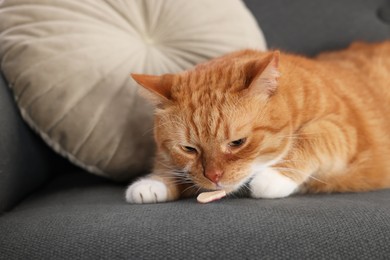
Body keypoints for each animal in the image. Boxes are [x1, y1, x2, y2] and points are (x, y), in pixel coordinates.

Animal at [125, 41, 390, 203]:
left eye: (237, 143)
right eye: (189, 149)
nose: (213, 177)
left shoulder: (347, 130)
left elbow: (314, 135)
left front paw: (275, 176)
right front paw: (154, 182)